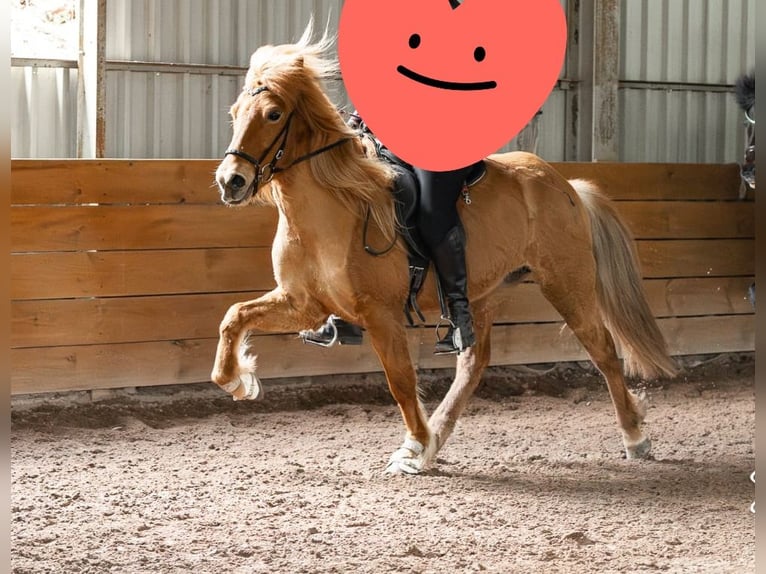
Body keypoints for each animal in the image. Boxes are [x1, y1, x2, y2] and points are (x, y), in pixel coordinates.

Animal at [210, 28, 678, 474]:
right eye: (233, 113)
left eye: (273, 114)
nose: (230, 181)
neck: (333, 208)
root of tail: (566, 186)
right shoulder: (303, 303)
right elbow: (234, 317)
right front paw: (239, 382)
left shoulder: (380, 314)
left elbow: (399, 380)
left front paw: (414, 444)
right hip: (482, 294)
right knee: (473, 362)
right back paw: (437, 436)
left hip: (567, 284)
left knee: (603, 351)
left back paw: (635, 437)